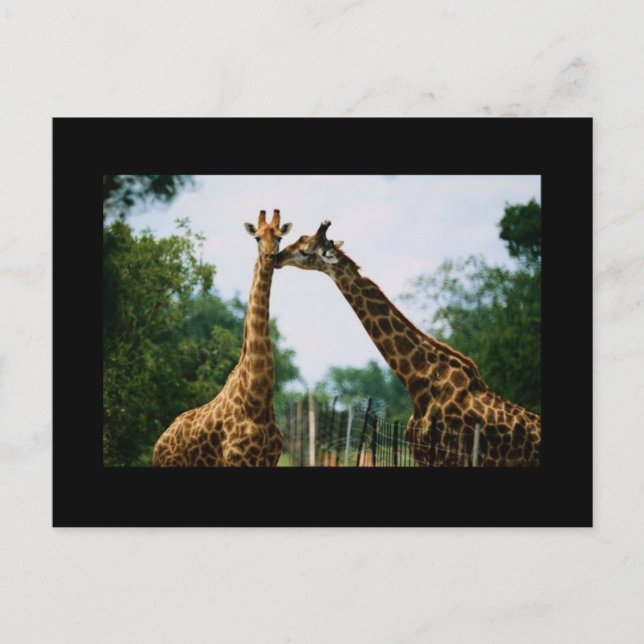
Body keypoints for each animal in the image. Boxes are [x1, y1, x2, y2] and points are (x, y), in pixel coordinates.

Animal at [152, 209, 292, 467]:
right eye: (257, 238)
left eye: (279, 237)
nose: (270, 257)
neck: (257, 403)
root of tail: (158, 446)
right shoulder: (236, 461)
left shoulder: (269, 460)